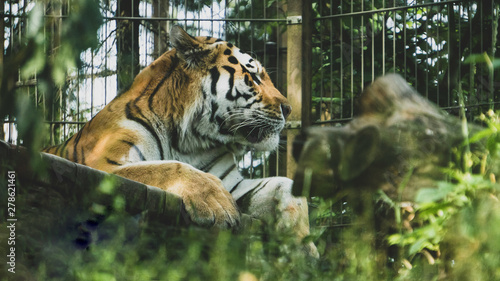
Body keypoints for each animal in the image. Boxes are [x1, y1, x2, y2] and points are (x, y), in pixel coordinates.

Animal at [42, 25, 316, 258]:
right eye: (253, 76)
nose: (289, 109)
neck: (188, 139)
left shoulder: (234, 185)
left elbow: (287, 186)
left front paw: (303, 248)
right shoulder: (101, 163)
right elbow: (168, 167)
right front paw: (218, 204)